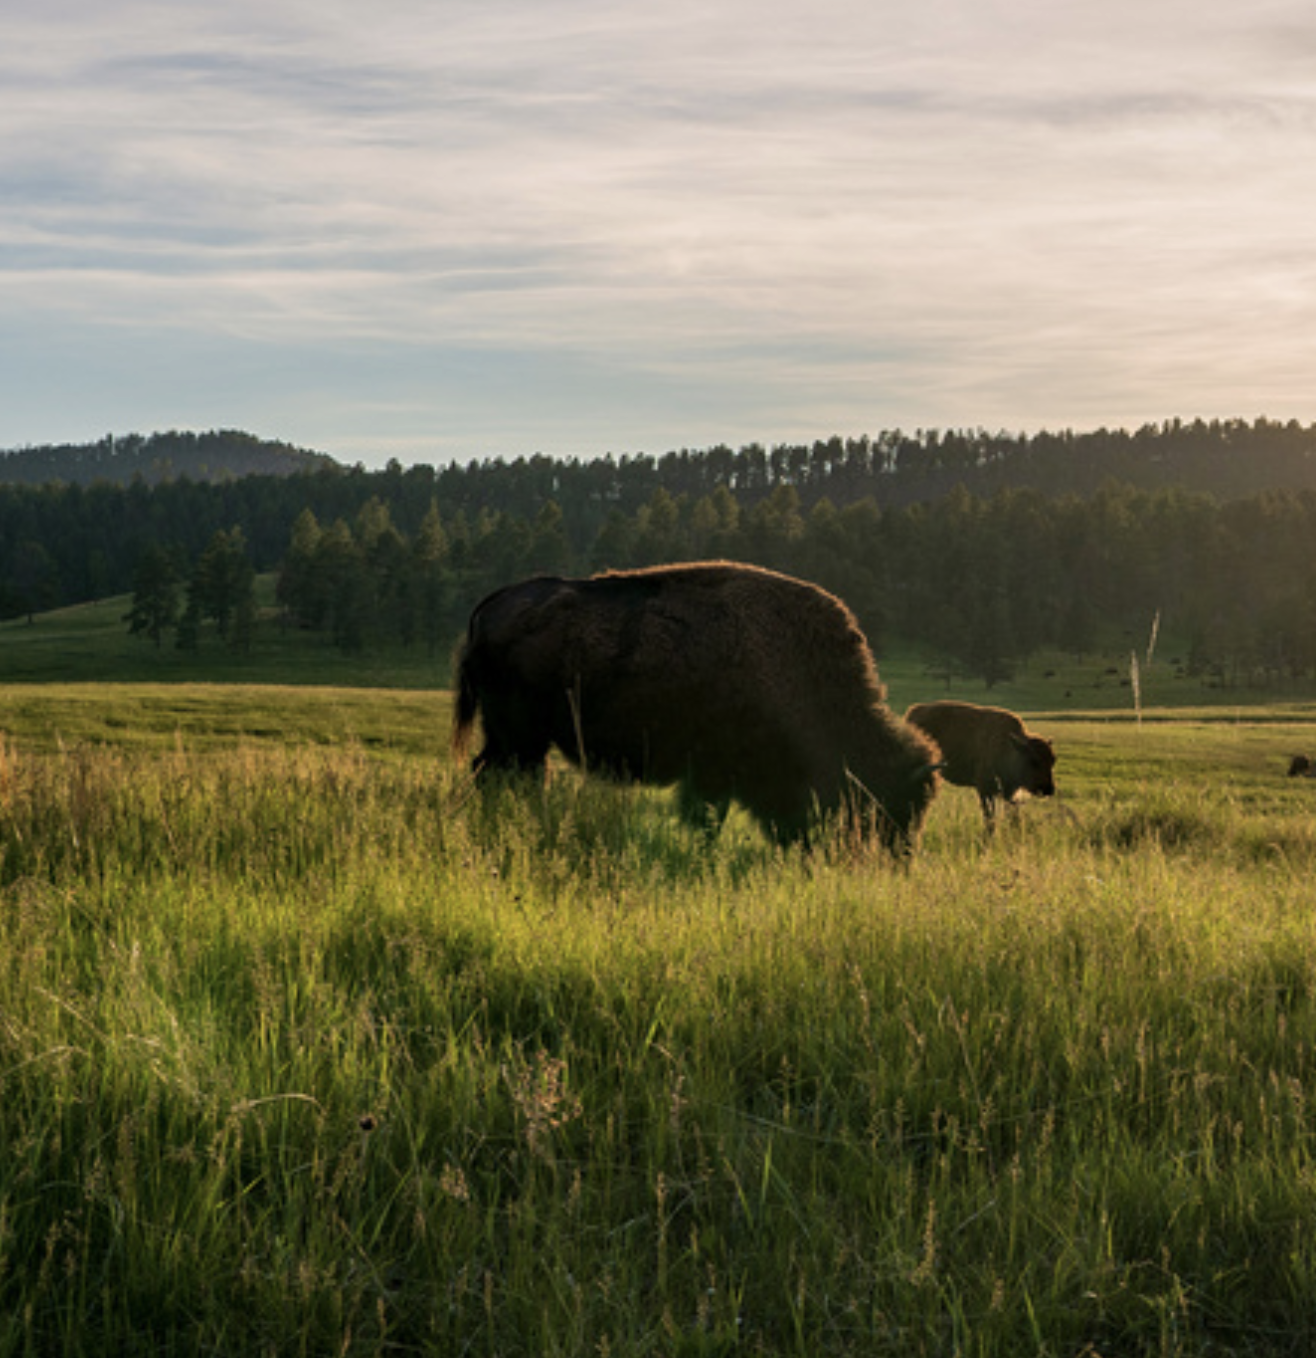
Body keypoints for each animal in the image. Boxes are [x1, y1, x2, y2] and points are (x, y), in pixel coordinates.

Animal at [452, 561, 941, 853]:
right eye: (890, 803)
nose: (898, 860)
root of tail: (489, 607)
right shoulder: (712, 771)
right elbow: (708, 818)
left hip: (515, 737)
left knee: (499, 774)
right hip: (519, 736)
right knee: (509, 775)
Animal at [904, 700, 1056, 826]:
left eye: (1053, 761)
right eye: (1033, 761)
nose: (1048, 789)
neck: (1009, 748)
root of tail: (912, 713)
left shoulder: (1009, 794)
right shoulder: (985, 790)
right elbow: (989, 818)